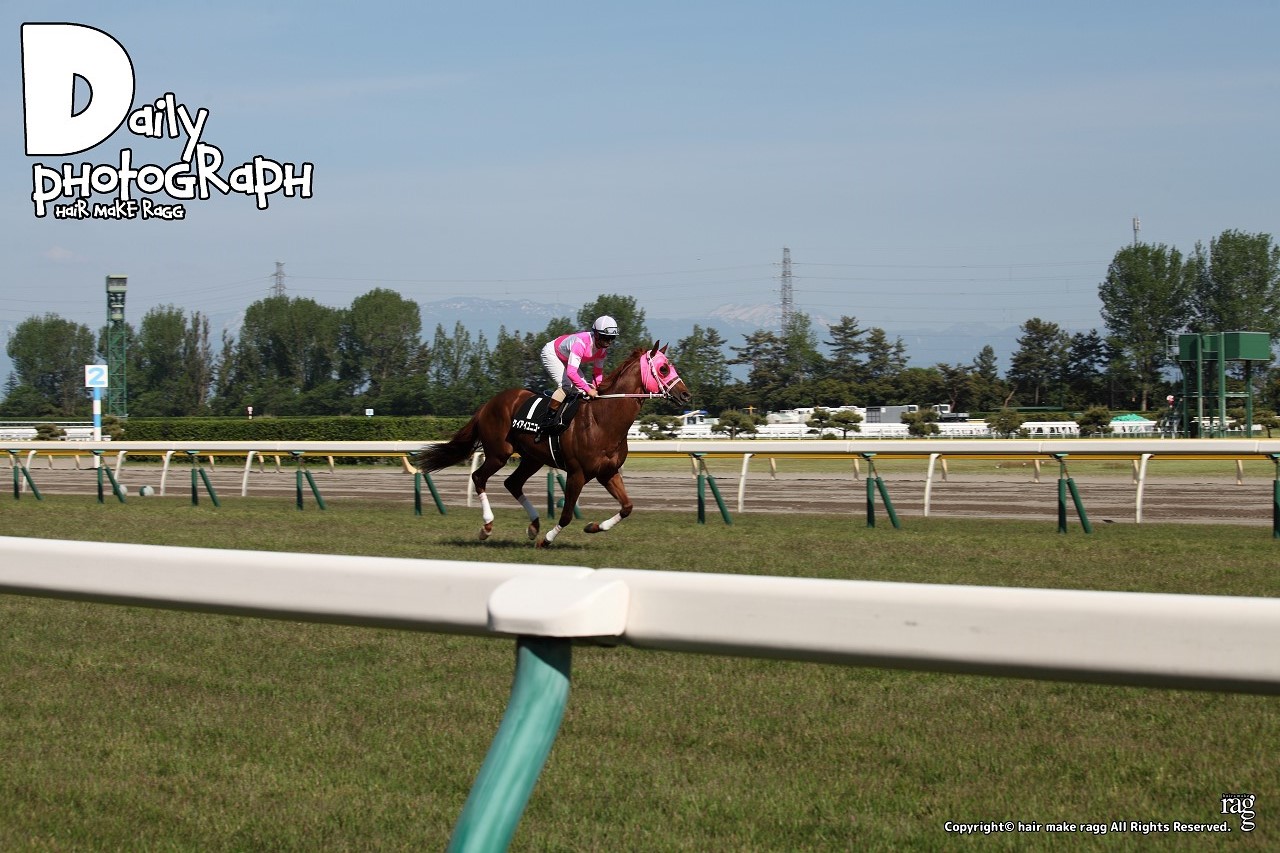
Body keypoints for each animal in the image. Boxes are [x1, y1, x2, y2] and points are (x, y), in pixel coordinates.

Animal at [409, 342, 690, 547]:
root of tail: (488, 404)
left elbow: (628, 507)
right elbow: (566, 514)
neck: (602, 420)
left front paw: (593, 527)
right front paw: (547, 540)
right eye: (664, 369)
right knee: (479, 477)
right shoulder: (577, 473)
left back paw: (533, 525)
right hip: (500, 453)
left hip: (532, 458)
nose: (686, 394)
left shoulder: (608, 472)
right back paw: (487, 527)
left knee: (512, 483)